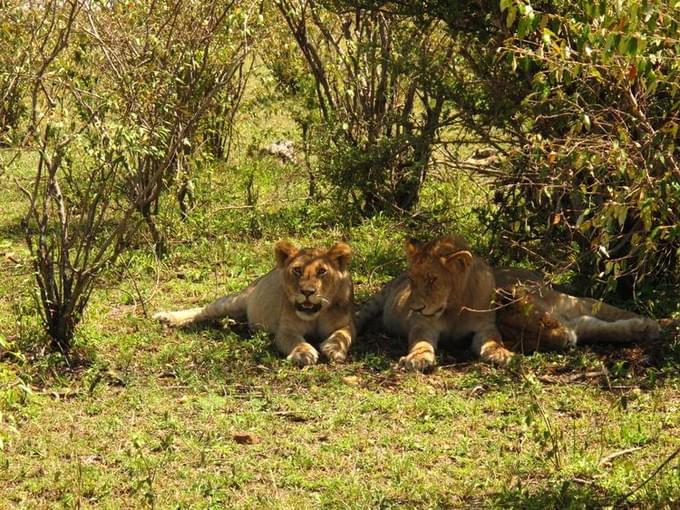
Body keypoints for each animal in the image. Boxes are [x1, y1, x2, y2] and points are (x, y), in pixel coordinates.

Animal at [154, 241, 356, 364]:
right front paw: (303, 352)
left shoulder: (348, 323)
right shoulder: (285, 329)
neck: (316, 315)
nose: (307, 292)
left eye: (322, 271)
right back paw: (167, 317)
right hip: (234, 301)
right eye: (297, 270)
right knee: (202, 310)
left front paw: (334, 348)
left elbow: (343, 335)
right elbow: (294, 340)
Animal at [356, 235, 660, 370]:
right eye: (414, 280)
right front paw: (418, 358)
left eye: (432, 280)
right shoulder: (424, 325)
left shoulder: (486, 326)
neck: (455, 305)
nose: (414, 307)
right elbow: (420, 341)